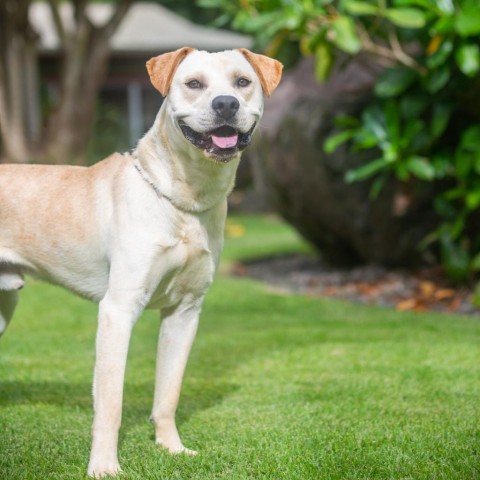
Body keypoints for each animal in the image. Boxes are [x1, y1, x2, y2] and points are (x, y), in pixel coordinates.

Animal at [0, 47, 282, 476]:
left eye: (242, 82)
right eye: (194, 83)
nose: (226, 104)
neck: (185, 198)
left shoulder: (185, 312)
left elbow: (168, 392)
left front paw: (171, 448)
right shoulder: (118, 309)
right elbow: (110, 403)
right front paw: (103, 466)